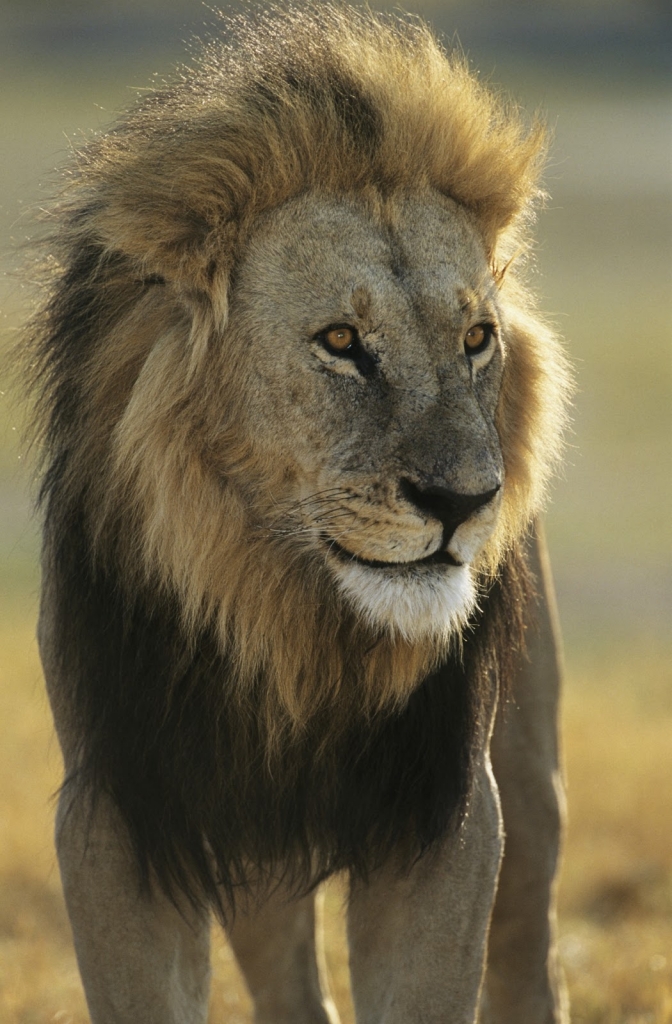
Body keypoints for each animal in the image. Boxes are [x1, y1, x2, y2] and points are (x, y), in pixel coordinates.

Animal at [27, 8, 573, 1024]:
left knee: (527, 950)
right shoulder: (119, 812)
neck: (286, 617)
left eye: (476, 340)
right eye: (341, 342)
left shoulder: (446, 811)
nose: (465, 501)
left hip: (529, 783)